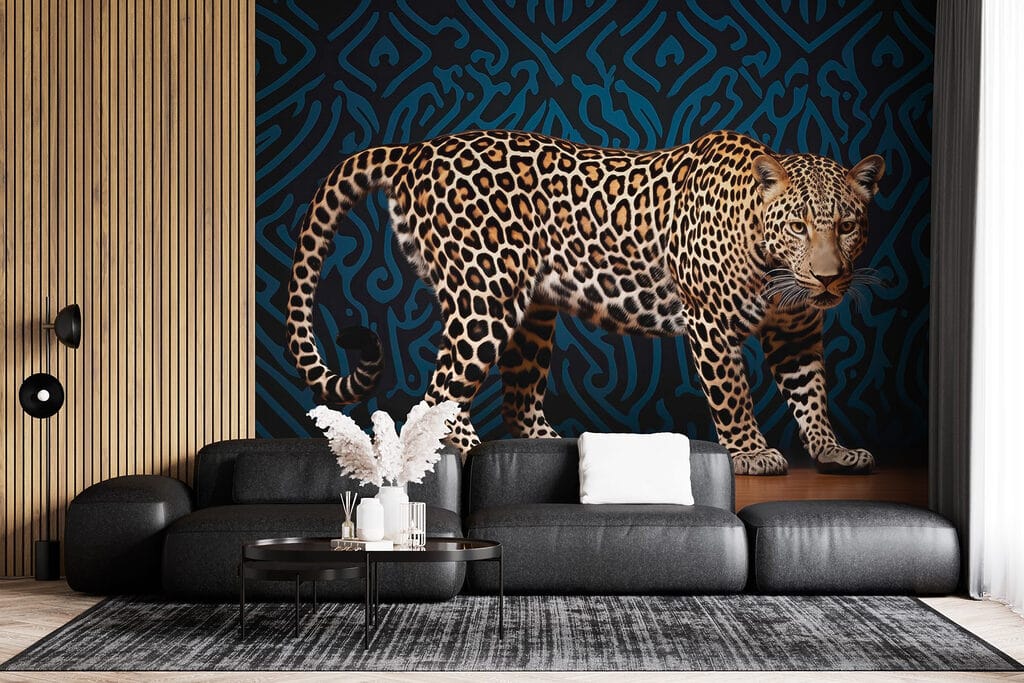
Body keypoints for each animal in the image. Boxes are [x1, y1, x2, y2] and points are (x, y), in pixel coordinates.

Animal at [285, 129, 884, 475]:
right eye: (799, 226)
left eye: (848, 226)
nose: (828, 279)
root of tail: (415, 149)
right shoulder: (709, 320)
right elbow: (733, 395)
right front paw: (751, 453)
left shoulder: (796, 331)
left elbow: (811, 392)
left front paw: (831, 449)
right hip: (483, 297)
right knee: (438, 395)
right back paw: (473, 451)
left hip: (531, 311)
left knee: (517, 402)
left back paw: (550, 449)